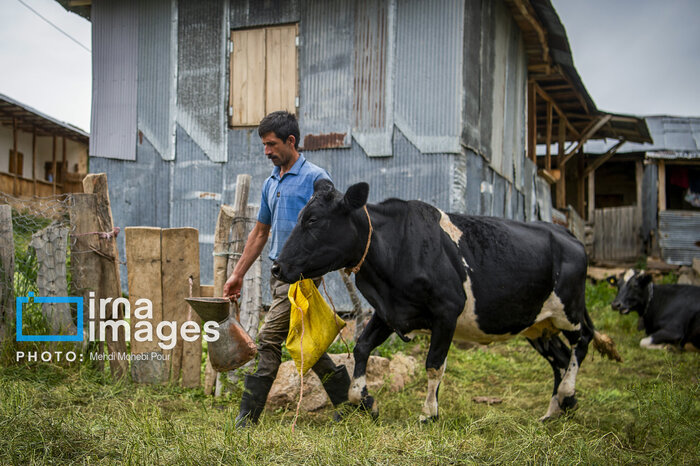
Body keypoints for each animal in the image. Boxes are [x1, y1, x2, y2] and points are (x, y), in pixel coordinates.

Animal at [270, 181, 620, 422]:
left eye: (313, 220)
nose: (276, 267)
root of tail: (568, 236)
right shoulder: (390, 312)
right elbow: (361, 348)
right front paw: (363, 400)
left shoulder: (446, 313)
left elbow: (434, 365)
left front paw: (429, 413)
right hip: (537, 325)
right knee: (560, 357)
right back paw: (555, 411)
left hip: (569, 311)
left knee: (581, 343)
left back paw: (567, 394)